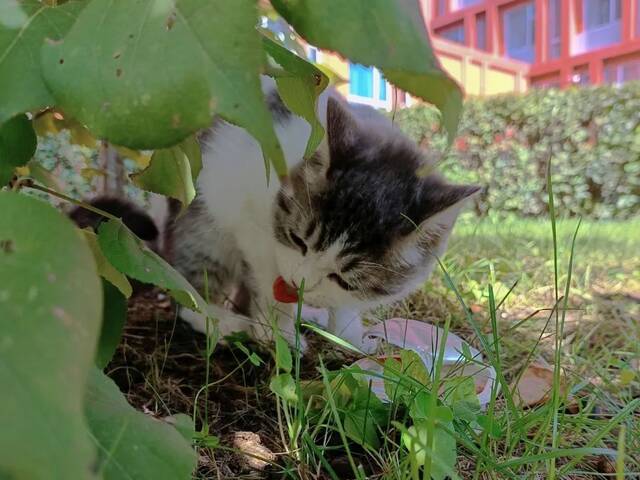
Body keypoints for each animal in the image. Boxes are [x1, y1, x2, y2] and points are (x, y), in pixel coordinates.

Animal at [170, 77, 480, 350]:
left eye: (344, 280)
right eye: (296, 240)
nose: (298, 284)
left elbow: (344, 302)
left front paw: (347, 335)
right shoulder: (250, 216)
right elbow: (267, 273)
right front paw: (278, 333)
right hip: (206, 217)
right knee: (189, 284)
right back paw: (218, 318)